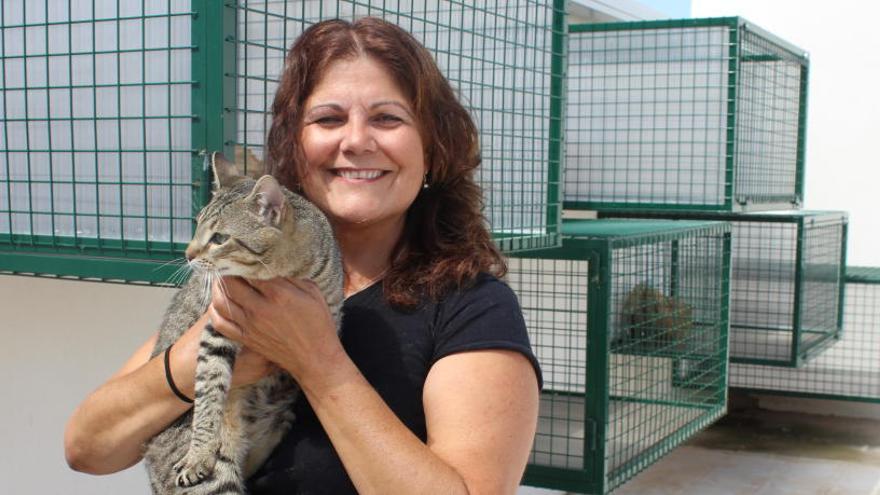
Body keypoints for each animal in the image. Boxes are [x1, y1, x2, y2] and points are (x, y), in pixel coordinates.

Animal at [143, 153, 342, 494]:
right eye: (196, 226)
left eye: (219, 238)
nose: (187, 254)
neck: (286, 274)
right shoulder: (216, 330)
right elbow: (209, 392)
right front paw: (198, 454)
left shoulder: (330, 317)